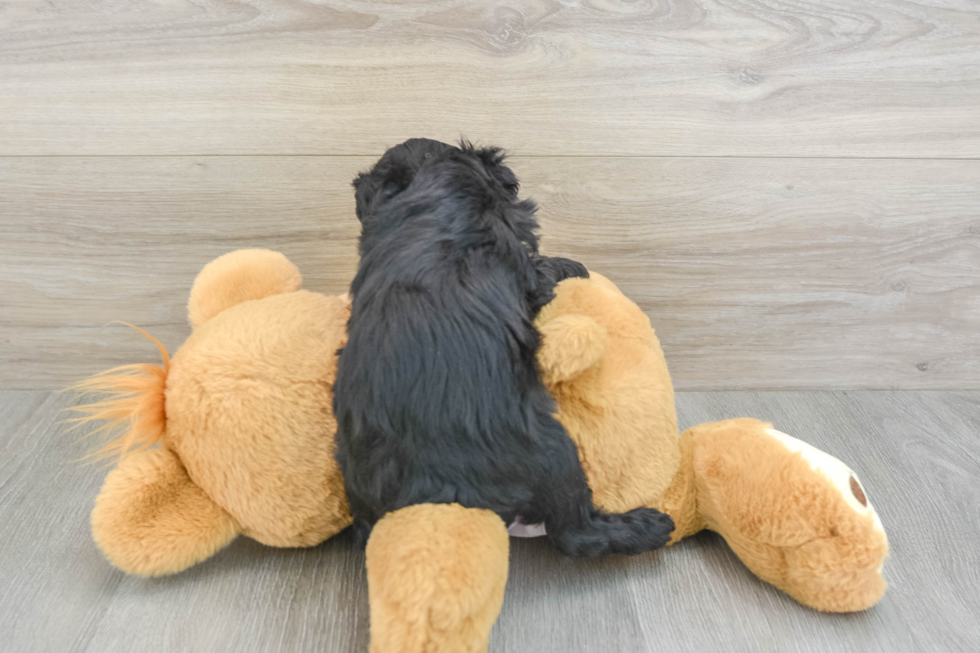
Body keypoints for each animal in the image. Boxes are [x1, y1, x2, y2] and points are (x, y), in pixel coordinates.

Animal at [336, 139, 672, 556]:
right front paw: (570, 265)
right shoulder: (522, 258)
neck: (436, 180)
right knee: (575, 533)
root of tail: (434, 499)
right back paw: (648, 526)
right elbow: (542, 268)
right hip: (555, 451)